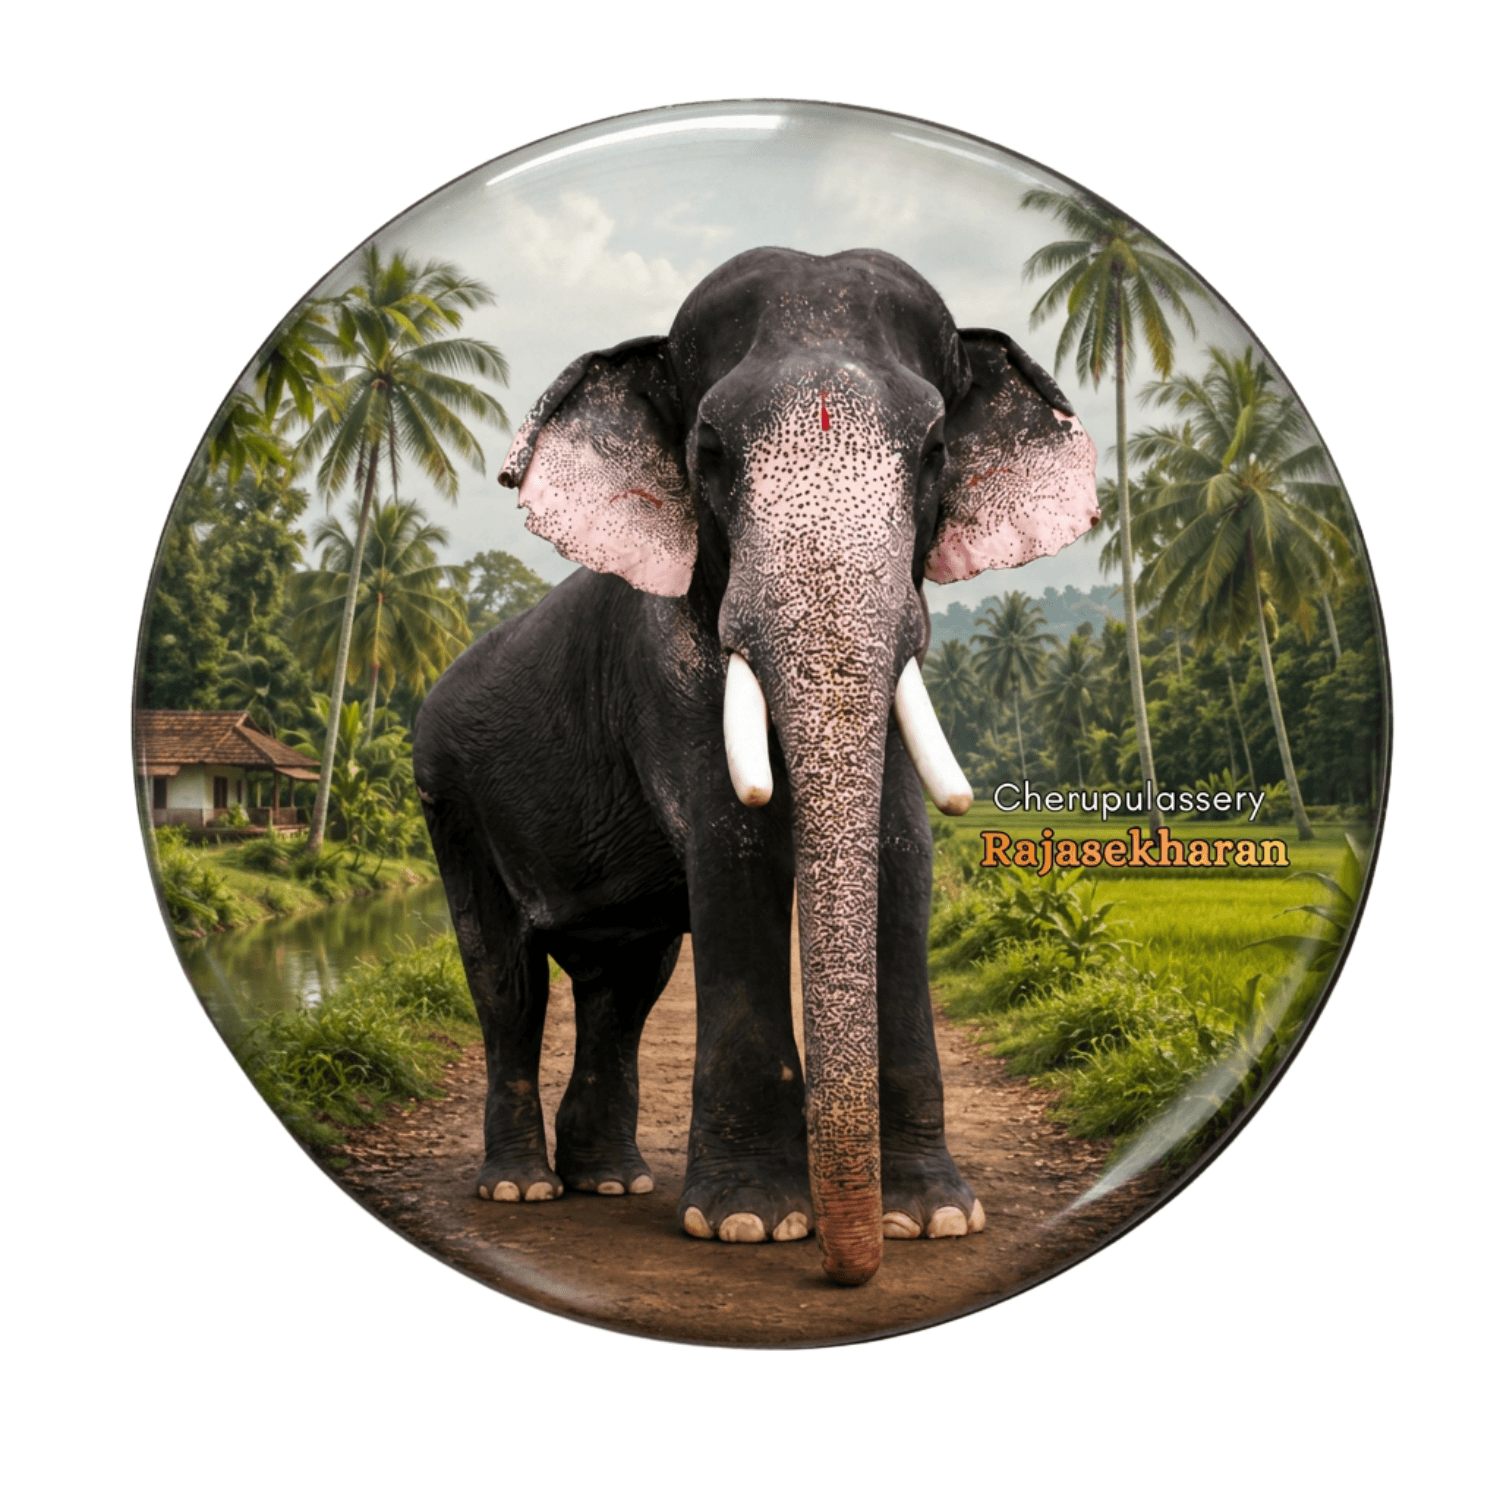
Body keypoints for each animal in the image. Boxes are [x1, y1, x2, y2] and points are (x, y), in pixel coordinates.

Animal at [413, 246, 1098, 1285]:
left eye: (936, 451)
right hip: (447, 794)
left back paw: (610, 1182)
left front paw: (933, 1219)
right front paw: (749, 1224)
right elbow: (731, 854)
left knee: (624, 983)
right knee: (507, 982)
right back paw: (521, 1190)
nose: (850, 1271)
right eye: (709, 455)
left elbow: (901, 854)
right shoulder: (661, 670)